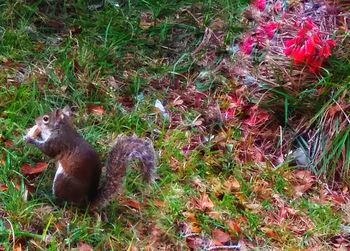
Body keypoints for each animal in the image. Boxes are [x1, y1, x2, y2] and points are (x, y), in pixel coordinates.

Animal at [23, 106, 157, 210]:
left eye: (46, 119)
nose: (36, 120)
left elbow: (48, 150)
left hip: (62, 181)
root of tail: (85, 203)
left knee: (62, 202)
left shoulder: (58, 142)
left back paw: (47, 196)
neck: (62, 128)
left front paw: (30, 139)